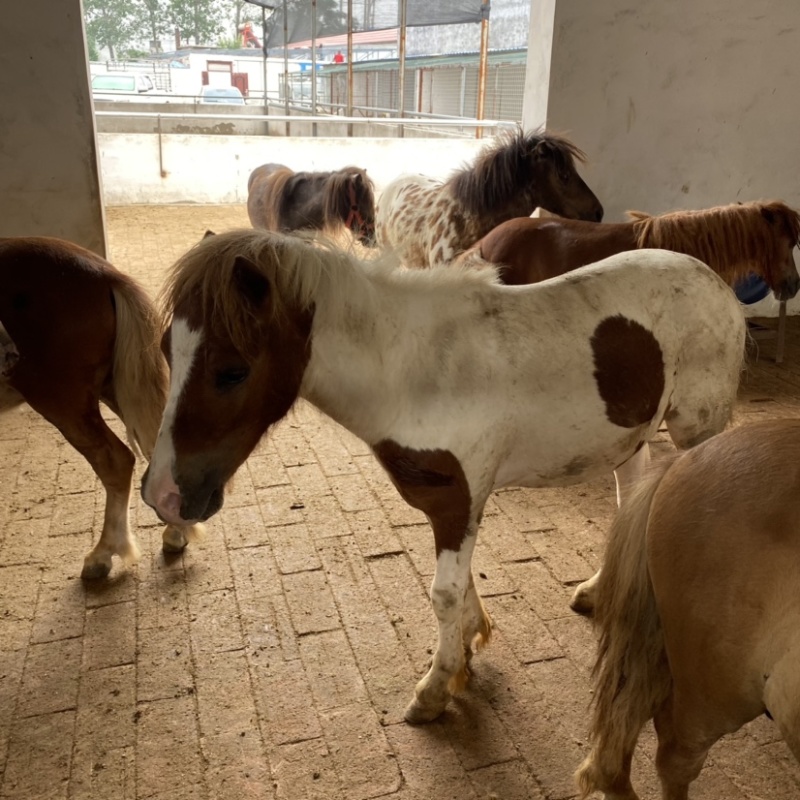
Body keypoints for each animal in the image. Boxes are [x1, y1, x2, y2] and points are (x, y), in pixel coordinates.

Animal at [0, 237, 202, 580]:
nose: (8, 354)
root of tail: (107, 275)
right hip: (112, 387)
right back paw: (175, 533)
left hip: (64, 401)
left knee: (115, 461)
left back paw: (103, 554)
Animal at [141, 230, 745, 724]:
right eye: (168, 347)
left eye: (231, 371)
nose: (163, 495)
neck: (411, 372)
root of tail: (714, 280)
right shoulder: (457, 504)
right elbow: (462, 585)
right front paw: (468, 651)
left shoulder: (459, 501)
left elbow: (444, 594)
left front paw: (434, 690)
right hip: (630, 438)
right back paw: (599, 590)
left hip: (696, 429)